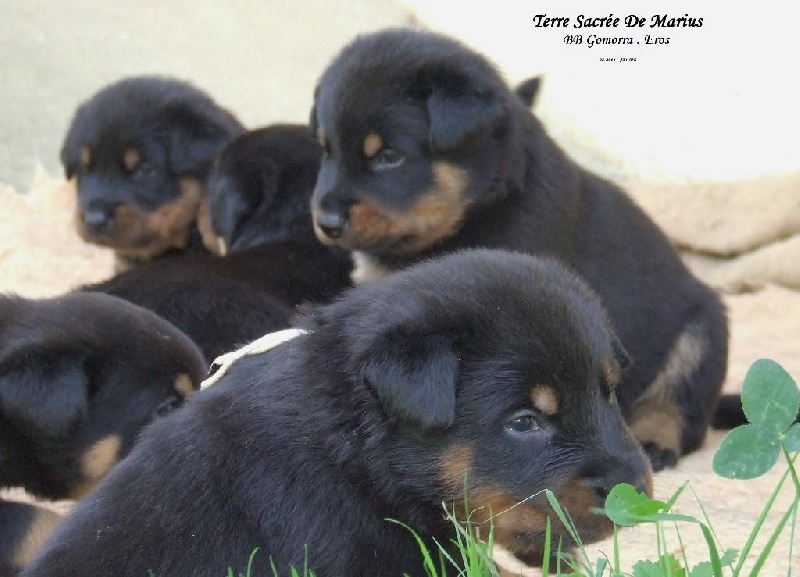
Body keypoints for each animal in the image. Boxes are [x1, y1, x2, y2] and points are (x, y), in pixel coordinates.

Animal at [308, 28, 732, 468]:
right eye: (326, 150)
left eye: (389, 157)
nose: (327, 222)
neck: (479, 209)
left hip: (702, 327)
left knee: (680, 400)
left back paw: (654, 436)